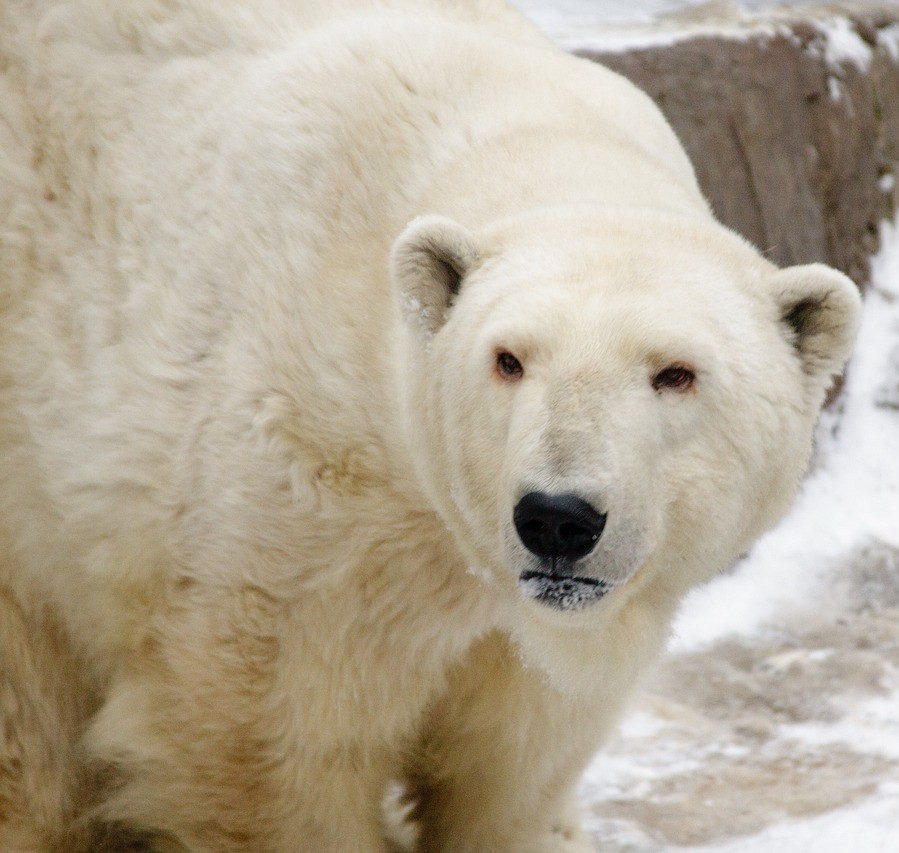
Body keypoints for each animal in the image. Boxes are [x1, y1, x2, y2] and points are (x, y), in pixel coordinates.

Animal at [0, 0, 860, 851]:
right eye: (508, 359)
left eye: (674, 372)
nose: (556, 517)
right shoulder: (299, 525)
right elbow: (272, 754)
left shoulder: (528, 639)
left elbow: (512, 769)